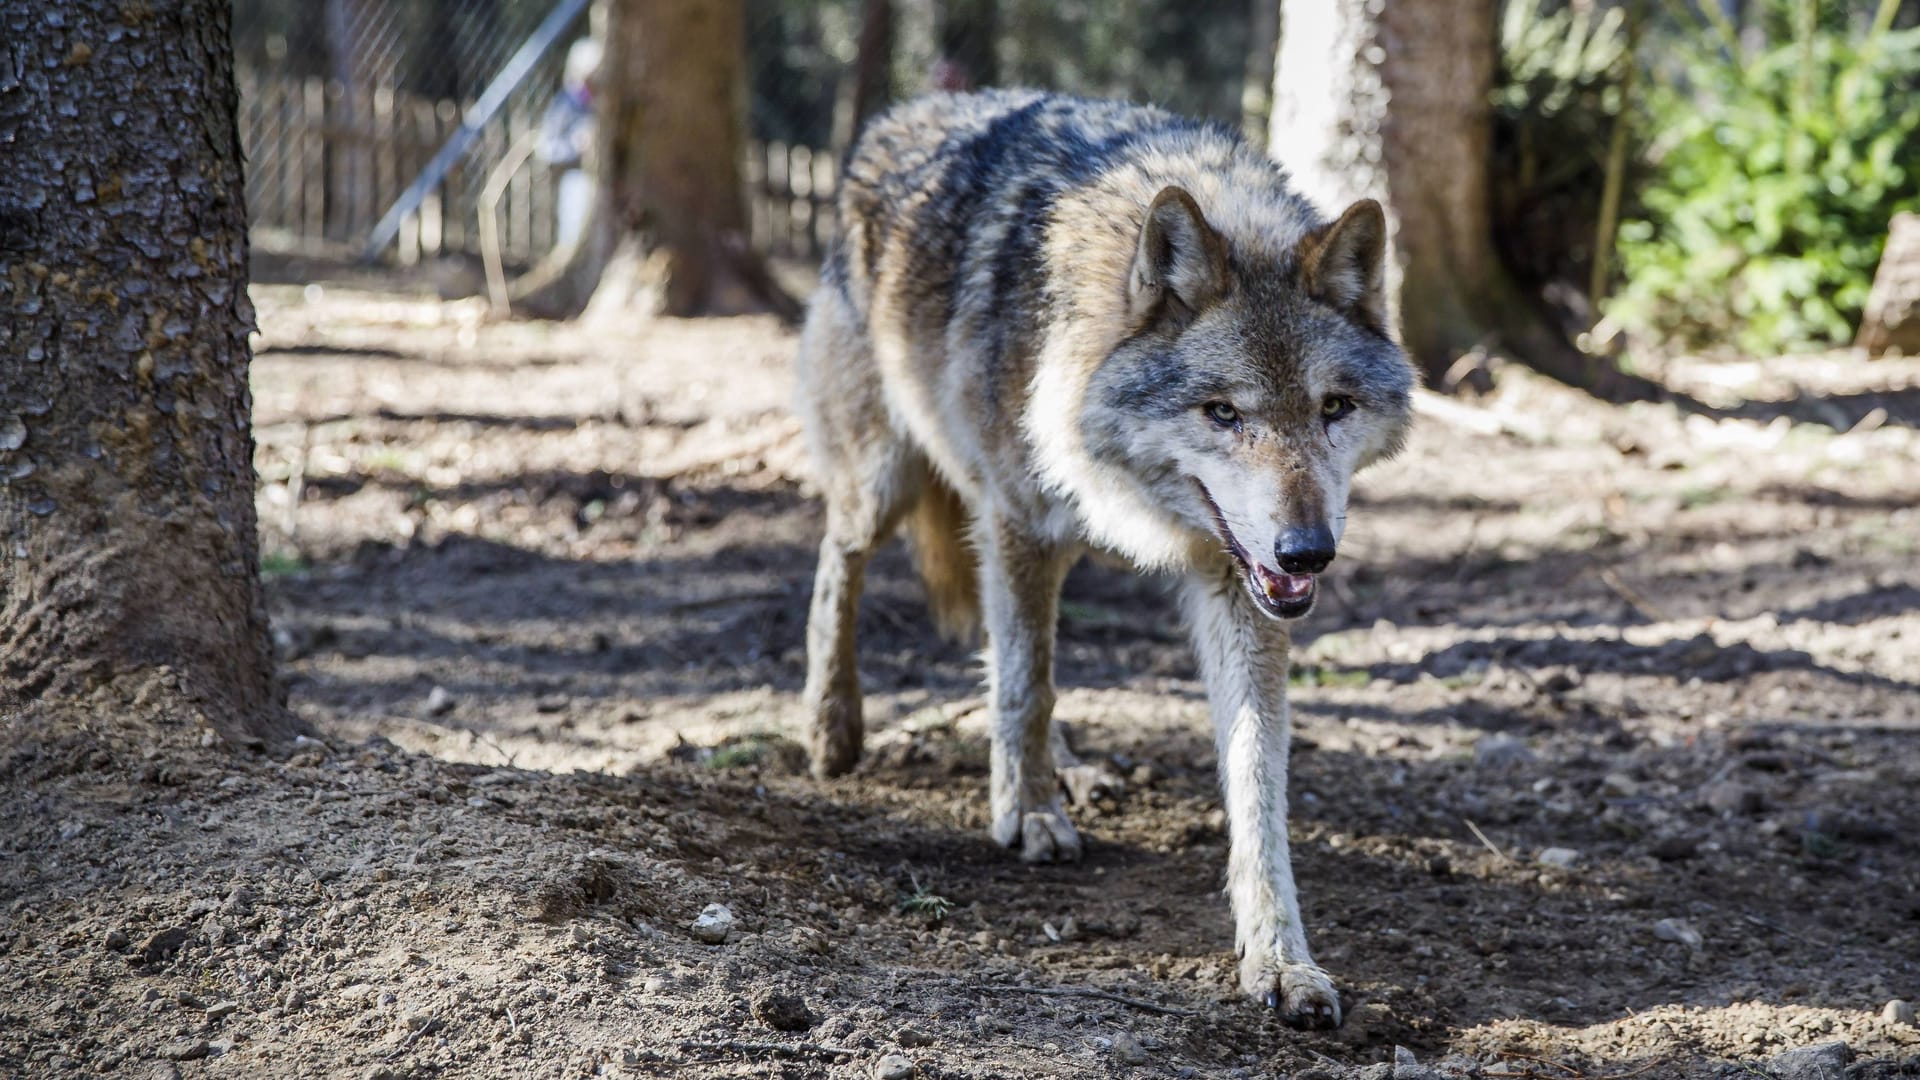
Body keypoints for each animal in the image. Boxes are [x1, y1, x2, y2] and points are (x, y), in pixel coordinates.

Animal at [787, 88, 1420, 1022]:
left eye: (1333, 407)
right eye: (1224, 412)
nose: (1307, 554)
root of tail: (902, 114)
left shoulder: (1238, 586)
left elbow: (1256, 778)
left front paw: (1281, 957)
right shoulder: (1018, 519)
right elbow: (1027, 686)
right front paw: (1027, 813)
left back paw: (1070, 767)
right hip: (887, 480)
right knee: (843, 560)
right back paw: (834, 725)